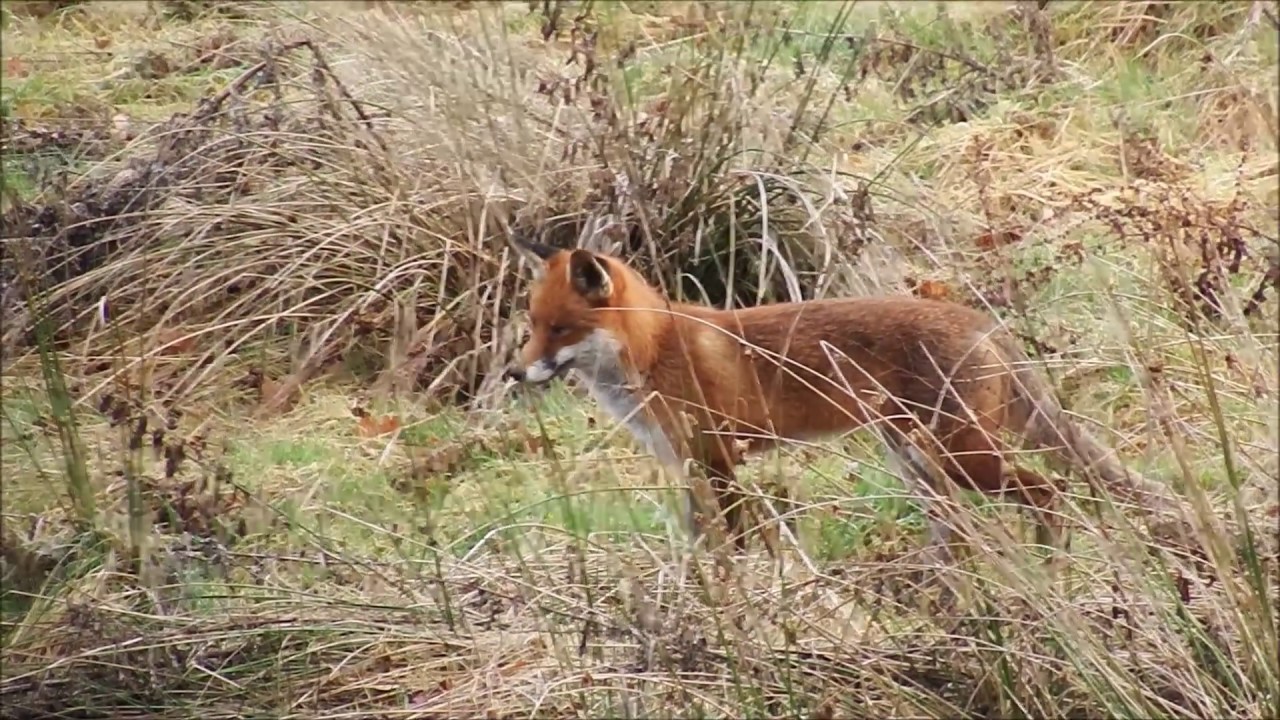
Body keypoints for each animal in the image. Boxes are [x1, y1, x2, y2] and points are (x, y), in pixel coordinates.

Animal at [503, 237, 1182, 560]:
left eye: (560, 330)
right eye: (530, 325)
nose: (513, 372)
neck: (654, 350)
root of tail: (982, 321)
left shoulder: (718, 461)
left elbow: (735, 546)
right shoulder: (688, 468)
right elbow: (703, 544)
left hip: (963, 457)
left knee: (1050, 492)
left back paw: (1048, 566)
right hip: (919, 462)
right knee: (966, 529)